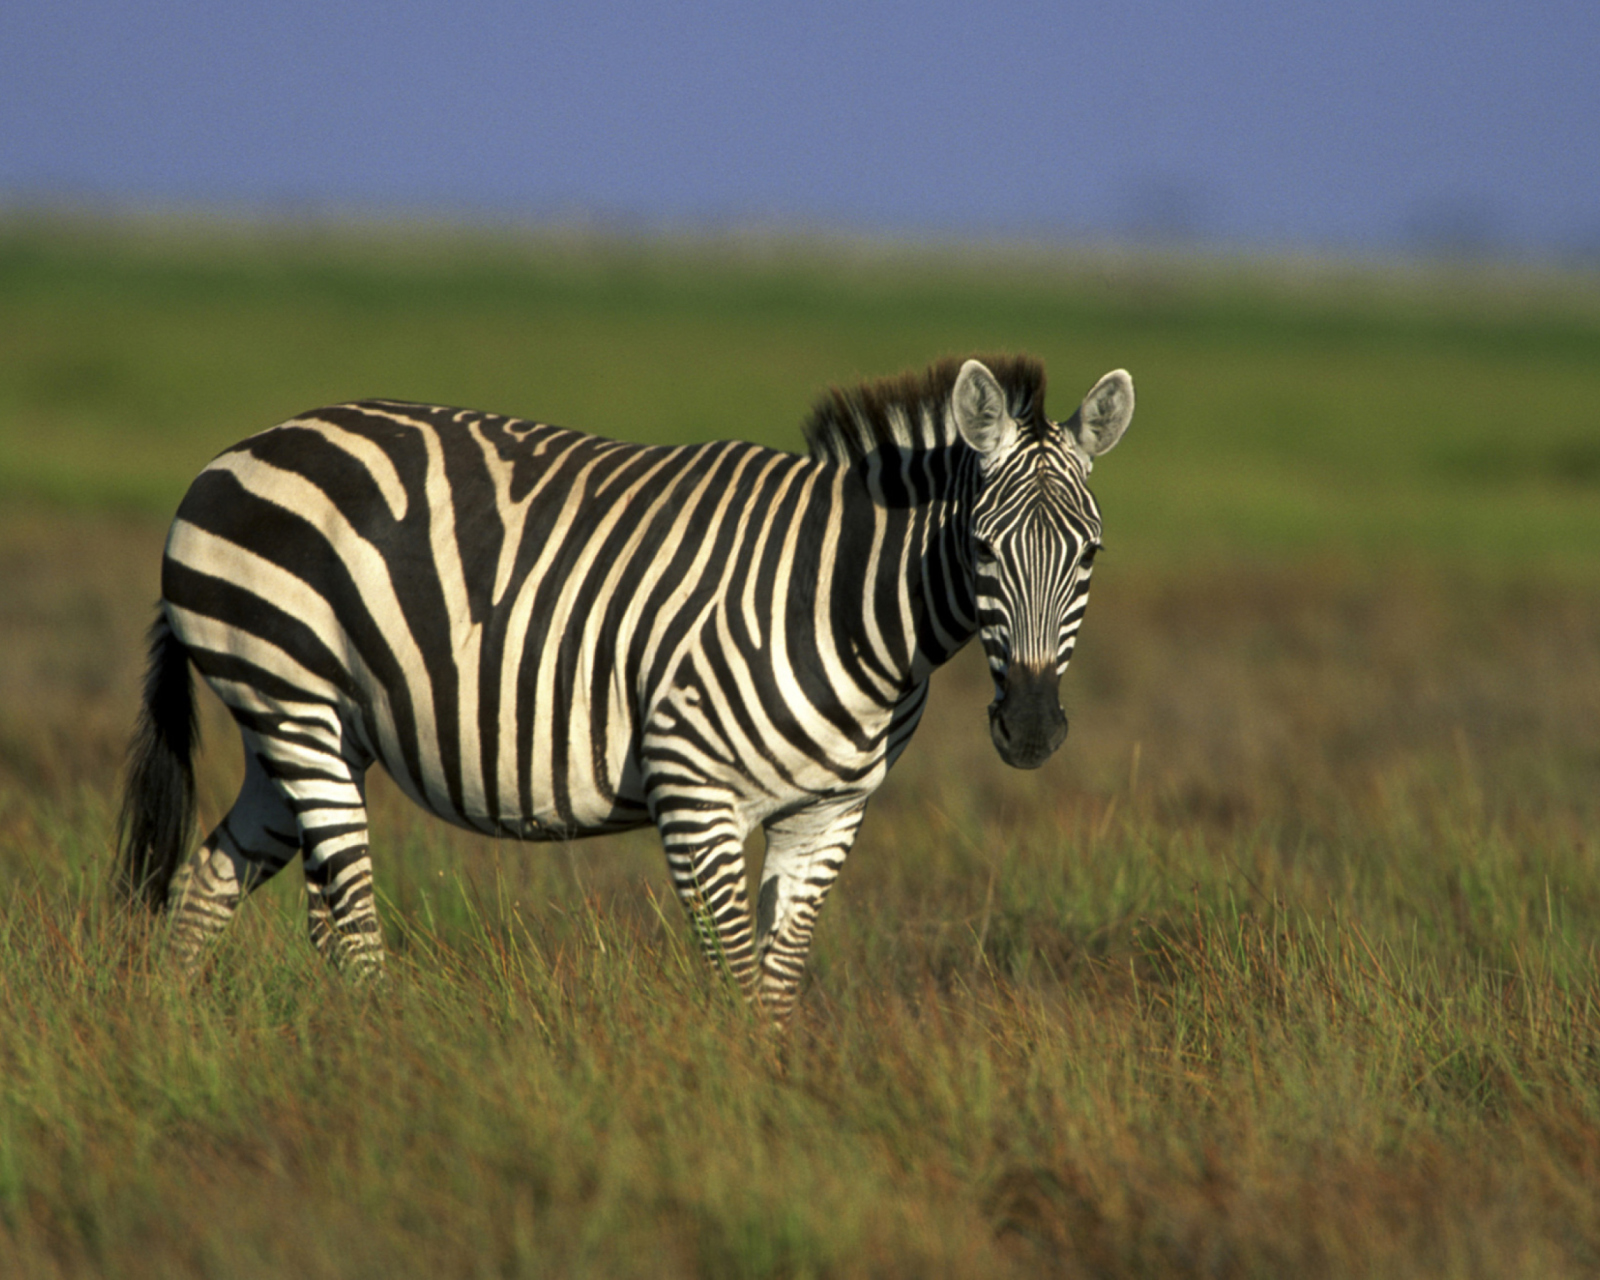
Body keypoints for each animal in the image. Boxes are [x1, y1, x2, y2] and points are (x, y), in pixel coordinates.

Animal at [118, 355, 1132, 1024]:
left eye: (1089, 554)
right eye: (984, 549)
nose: (1032, 730)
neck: (846, 603)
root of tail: (238, 453)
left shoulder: (829, 812)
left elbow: (776, 988)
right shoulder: (695, 793)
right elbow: (735, 979)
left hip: (307, 731)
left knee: (212, 885)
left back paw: (171, 1045)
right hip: (290, 699)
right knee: (352, 932)